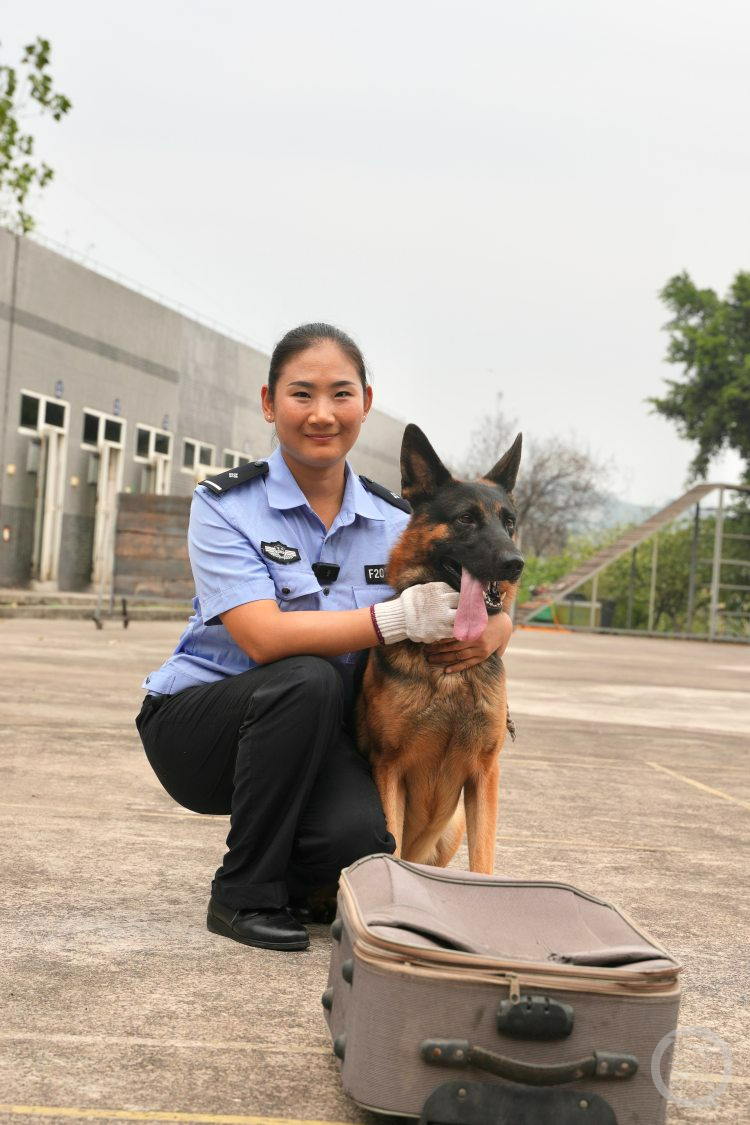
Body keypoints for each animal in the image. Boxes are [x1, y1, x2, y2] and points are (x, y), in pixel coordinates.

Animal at [357, 425, 521, 873]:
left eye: (509, 523)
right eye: (466, 518)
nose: (516, 563)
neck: (450, 675)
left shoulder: (485, 775)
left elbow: (483, 862)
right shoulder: (389, 770)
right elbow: (391, 850)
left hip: (452, 830)